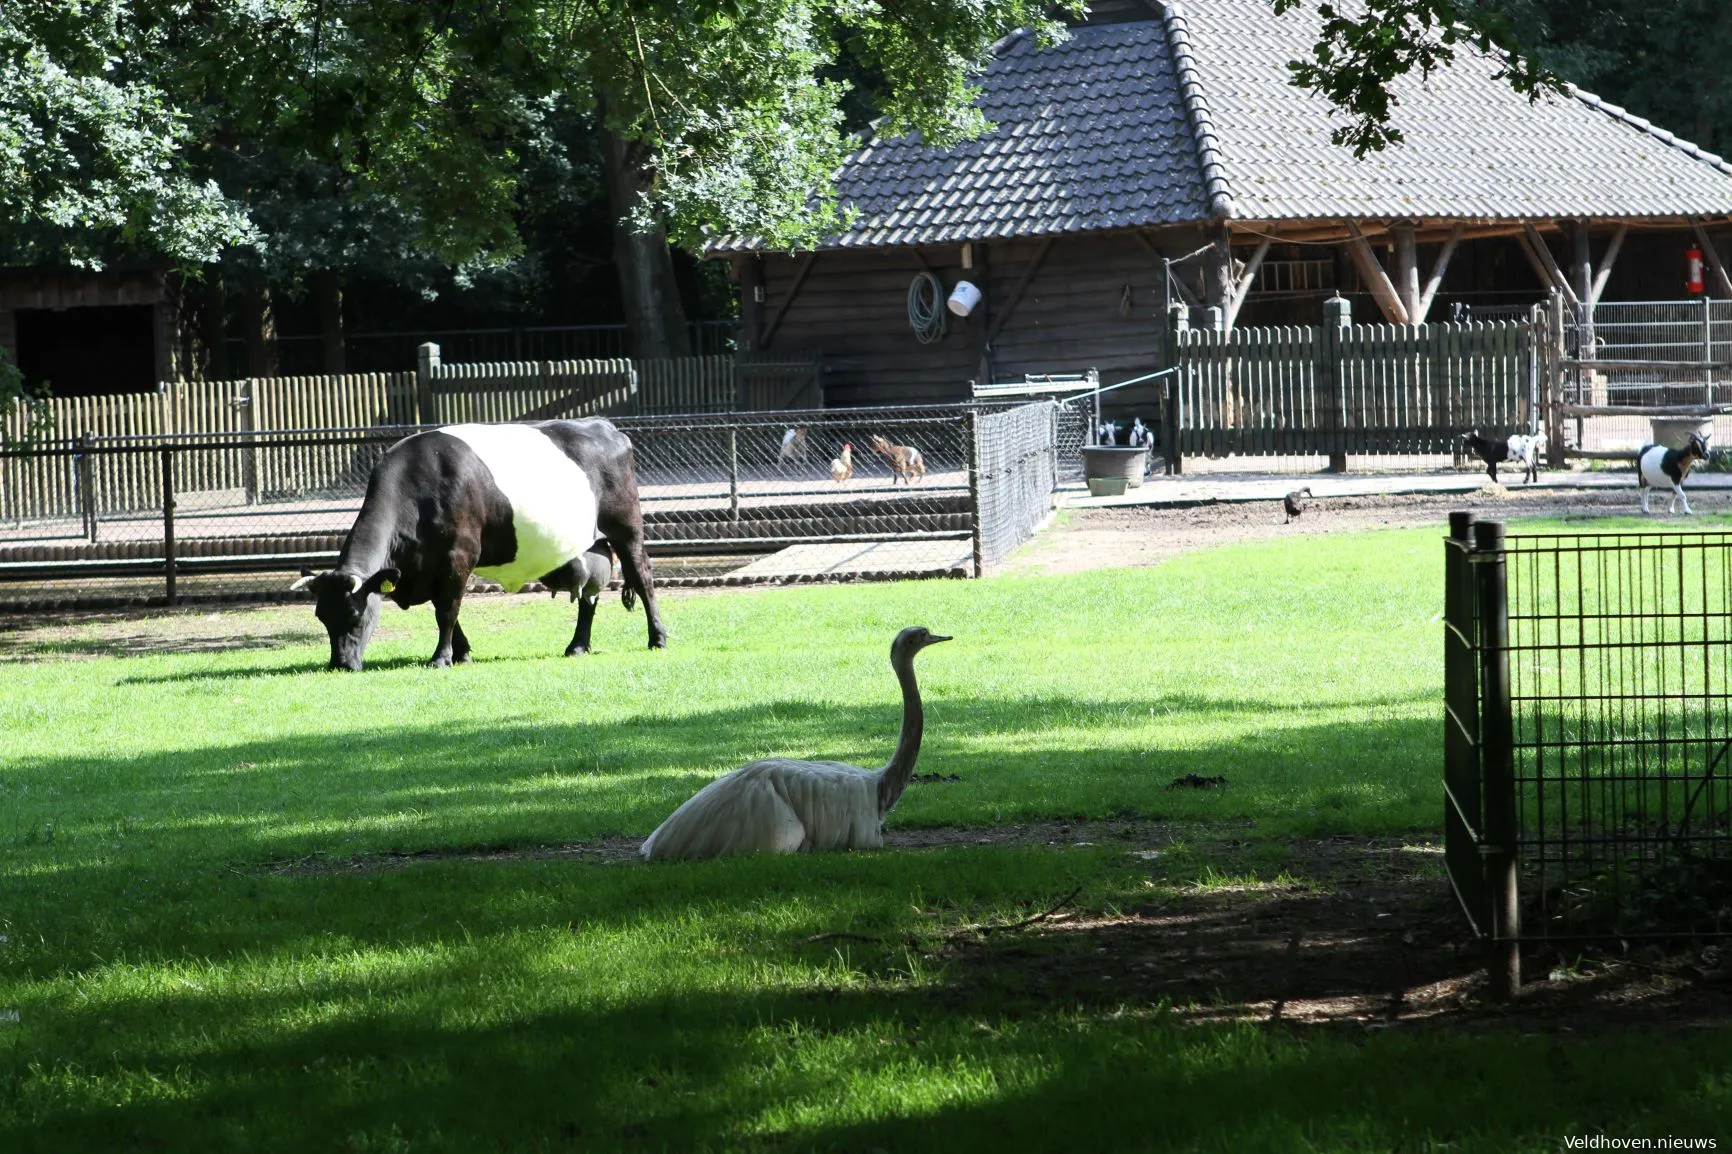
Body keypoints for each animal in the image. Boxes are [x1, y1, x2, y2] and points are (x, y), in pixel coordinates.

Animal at [287, 415, 665, 665]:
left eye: (355, 615)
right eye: (321, 617)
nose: (340, 664)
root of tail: (604, 425)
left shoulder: (459, 556)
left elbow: (447, 610)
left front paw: (441, 658)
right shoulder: (429, 566)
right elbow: (447, 611)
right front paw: (462, 653)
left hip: (626, 526)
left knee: (642, 577)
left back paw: (658, 638)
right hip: (589, 544)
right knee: (589, 593)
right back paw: (577, 646)